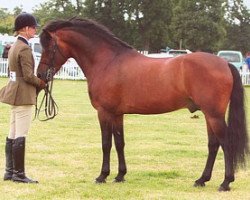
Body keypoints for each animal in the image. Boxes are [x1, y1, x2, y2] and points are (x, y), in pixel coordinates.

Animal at [36, 18, 249, 191]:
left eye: (47, 47)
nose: (40, 75)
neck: (107, 61)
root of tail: (224, 63)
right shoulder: (117, 114)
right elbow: (119, 143)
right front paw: (120, 175)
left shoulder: (104, 112)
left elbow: (106, 144)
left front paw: (102, 176)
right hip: (208, 115)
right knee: (213, 144)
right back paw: (201, 180)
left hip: (214, 115)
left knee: (225, 143)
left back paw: (225, 183)